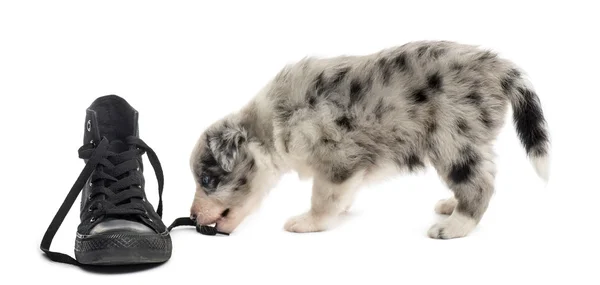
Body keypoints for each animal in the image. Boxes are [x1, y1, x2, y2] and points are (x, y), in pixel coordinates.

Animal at [188, 40, 548, 237]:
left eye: (206, 179)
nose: (191, 217)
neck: (273, 123)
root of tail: (498, 67)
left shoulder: (335, 160)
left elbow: (322, 200)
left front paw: (307, 222)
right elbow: (343, 195)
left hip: (452, 139)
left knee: (479, 184)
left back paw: (455, 226)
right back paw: (450, 206)